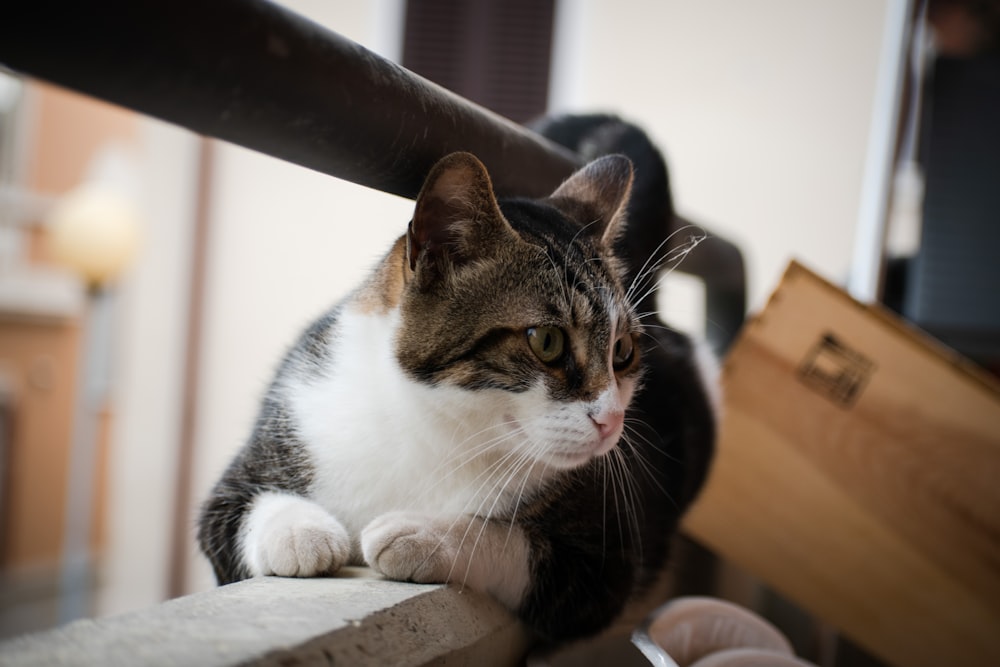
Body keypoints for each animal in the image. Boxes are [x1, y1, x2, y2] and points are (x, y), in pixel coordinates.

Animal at [197, 116, 720, 648]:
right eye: (547, 341)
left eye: (622, 352)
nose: (611, 420)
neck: (432, 426)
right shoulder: (277, 434)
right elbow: (240, 508)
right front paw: (301, 534)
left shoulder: (605, 564)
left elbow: (517, 547)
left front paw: (424, 535)